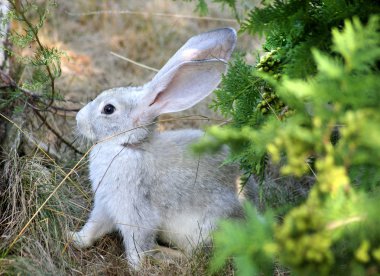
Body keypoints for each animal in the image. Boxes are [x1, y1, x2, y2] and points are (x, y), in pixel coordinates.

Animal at [70, 28, 243, 270]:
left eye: (108, 109)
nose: (78, 119)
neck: (128, 146)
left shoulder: (135, 212)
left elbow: (137, 246)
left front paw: (136, 267)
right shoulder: (104, 206)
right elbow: (93, 228)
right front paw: (74, 239)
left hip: (208, 228)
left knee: (196, 256)